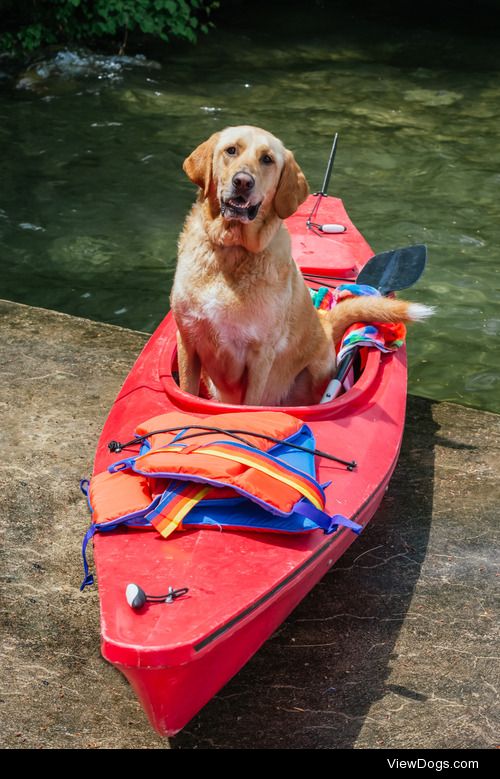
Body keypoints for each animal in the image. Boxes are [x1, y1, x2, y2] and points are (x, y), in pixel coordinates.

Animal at [172, 126, 430, 408]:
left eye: (267, 159)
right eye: (231, 150)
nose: (243, 181)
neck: (231, 250)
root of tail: (325, 322)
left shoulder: (259, 356)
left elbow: (249, 404)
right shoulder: (188, 340)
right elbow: (186, 388)